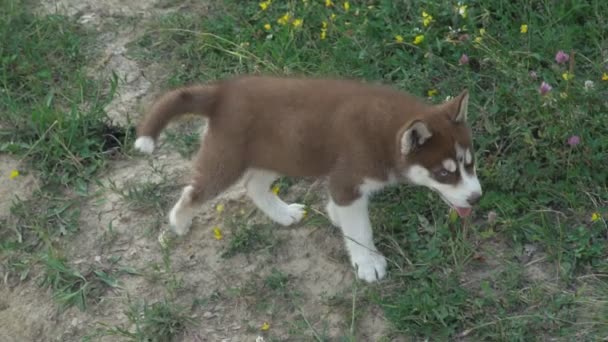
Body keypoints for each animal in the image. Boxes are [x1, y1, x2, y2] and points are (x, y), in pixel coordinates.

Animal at [135, 76, 482, 282]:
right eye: (444, 173)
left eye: (470, 163)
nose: (477, 198)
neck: (386, 130)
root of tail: (222, 91)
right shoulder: (347, 180)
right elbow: (360, 230)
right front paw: (368, 263)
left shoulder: (342, 182)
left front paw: (334, 216)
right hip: (228, 160)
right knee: (194, 192)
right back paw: (178, 223)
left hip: (282, 152)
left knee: (253, 185)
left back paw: (283, 214)